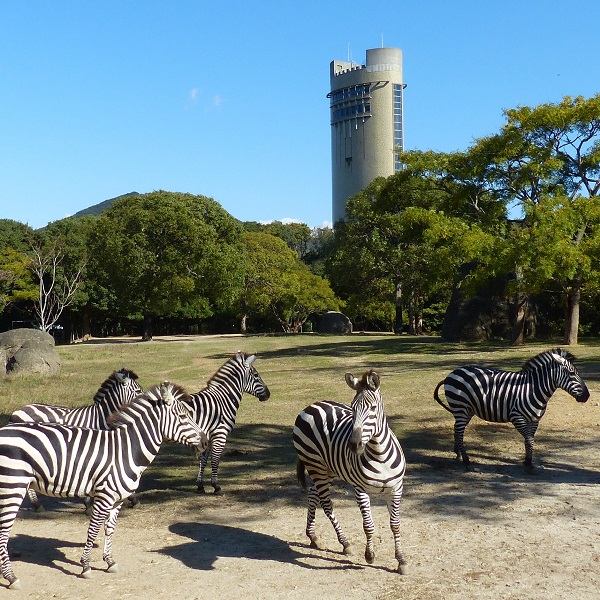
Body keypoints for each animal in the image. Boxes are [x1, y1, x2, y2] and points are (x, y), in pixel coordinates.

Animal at [185, 350, 270, 494]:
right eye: (256, 375)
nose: (268, 394)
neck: (223, 399)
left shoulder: (207, 436)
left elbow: (204, 460)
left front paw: (200, 485)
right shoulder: (220, 434)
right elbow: (215, 460)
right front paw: (216, 486)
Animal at [294, 370, 408, 572]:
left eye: (373, 408)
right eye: (353, 408)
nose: (354, 445)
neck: (379, 455)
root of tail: (311, 406)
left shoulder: (396, 488)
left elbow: (395, 525)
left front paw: (401, 560)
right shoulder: (360, 489)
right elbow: (368, 525)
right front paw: (369, 555)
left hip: (327, 468)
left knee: (313, 495)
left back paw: (313, 536)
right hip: (315, 465)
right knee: (326, 504)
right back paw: (345, 543)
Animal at [434, 346, 588, 468]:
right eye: (572, 373)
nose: (587, 396)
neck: (532, 389)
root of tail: (452, 373)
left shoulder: (534, 420)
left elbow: (529, 440)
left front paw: (528, 461)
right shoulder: (517, 417)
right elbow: (529, 440)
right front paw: (528, 464)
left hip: (468, 411)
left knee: (457, 429)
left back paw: (458, 454)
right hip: (460, 407)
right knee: (460, 432)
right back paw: (466, 460)